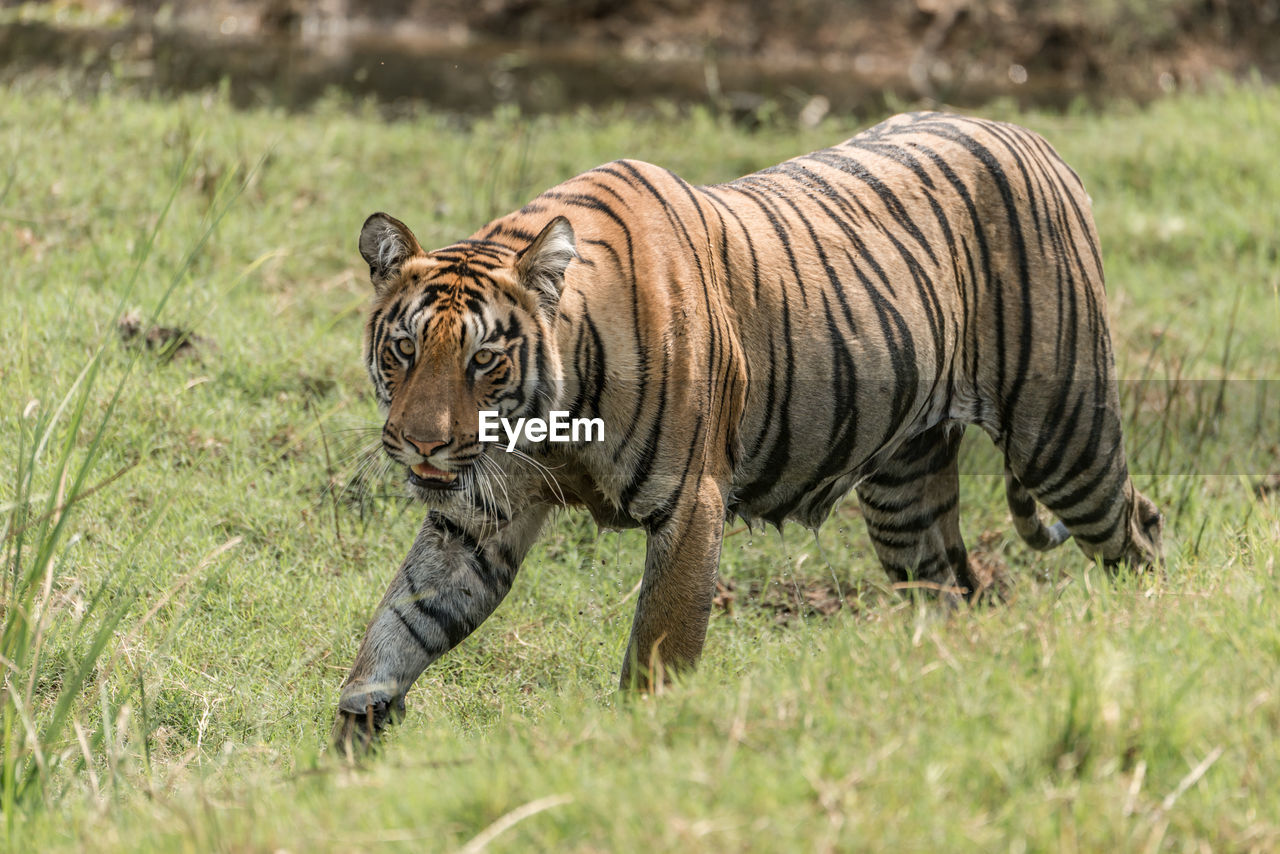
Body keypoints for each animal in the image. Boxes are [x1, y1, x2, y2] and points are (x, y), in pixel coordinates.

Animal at [330, 110, 1162, 752]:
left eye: (485, 359)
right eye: (404, 349)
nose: (422, 443)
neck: (549, 426)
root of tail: (1030, 135)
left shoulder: (691, 503)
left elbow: (657, 651)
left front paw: (642, 750)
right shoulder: (478, 515)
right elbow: (401, 625)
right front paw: (350, 749)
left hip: (1061, 433)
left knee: (1139, 526)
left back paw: (1152, 632)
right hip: (905, 491)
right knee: (951, 590)